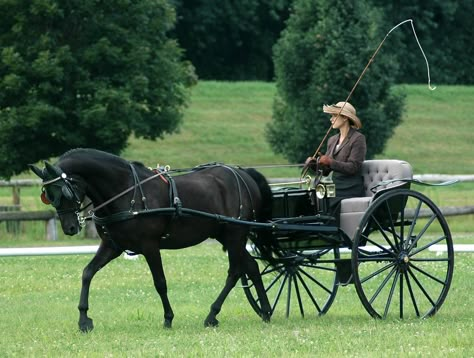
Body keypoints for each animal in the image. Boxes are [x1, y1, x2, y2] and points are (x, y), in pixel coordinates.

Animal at [29, 148, 272, 330]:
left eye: (64, 191)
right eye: (47, 195)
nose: (70, 227)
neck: (126, 191)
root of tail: (244, 173)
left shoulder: (150, 246)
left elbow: (160, 282)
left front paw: (168, 318)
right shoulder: (112, 246)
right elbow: (87, 273)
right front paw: (84, 320)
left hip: (235, 234)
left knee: (235, 271)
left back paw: (213, 314)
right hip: (227, 236)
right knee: (250, 266)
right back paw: (266, 311)